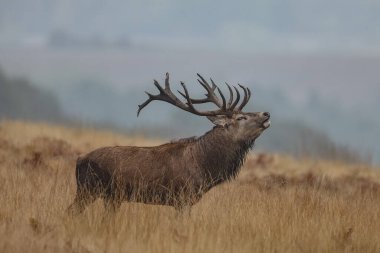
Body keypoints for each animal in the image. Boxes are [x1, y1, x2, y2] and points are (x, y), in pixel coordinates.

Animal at [67, 72, 270, 213]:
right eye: (241, 117)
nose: (266, 113)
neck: (205, 167)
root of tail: (79, 160)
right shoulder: (182, 198)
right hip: (89, 189)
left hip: (111, 196)